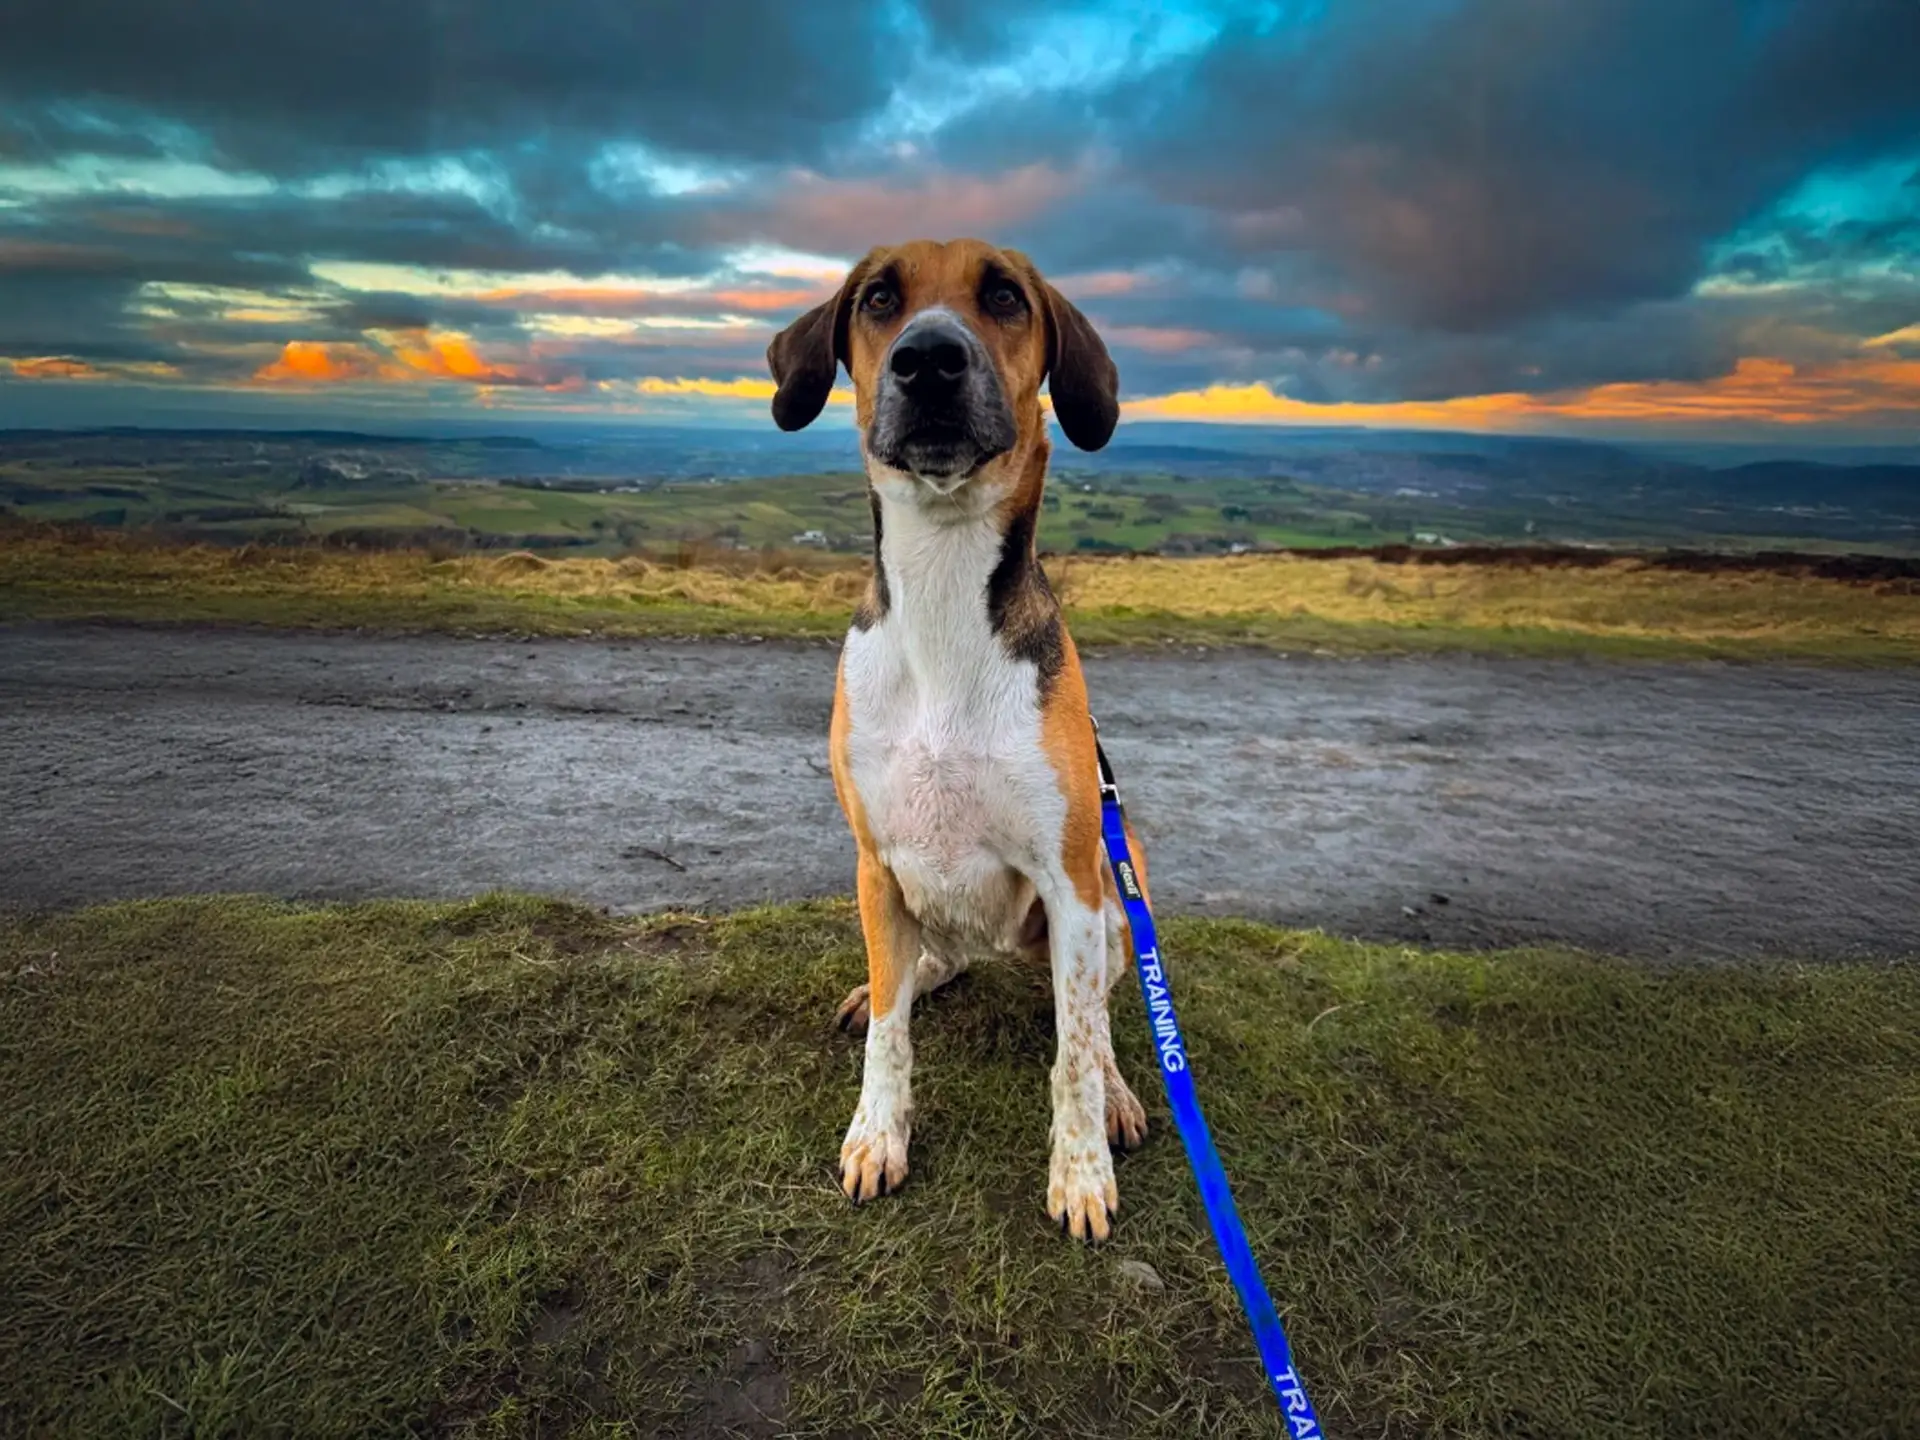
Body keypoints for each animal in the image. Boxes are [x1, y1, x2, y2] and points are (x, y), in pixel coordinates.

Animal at [764, 237, 1152, 1244]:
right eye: (878, 299)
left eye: (1006, 297)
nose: (929, 360)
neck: (942, 584)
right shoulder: (873, 863)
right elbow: (890, 1039)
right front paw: (877, 1133)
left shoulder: (1073, 878)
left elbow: (1075, 1051)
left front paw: (1081, 1171)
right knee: (924, 967)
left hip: (1117, 900)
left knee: (1095, 1014)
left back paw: (1121, 1095)